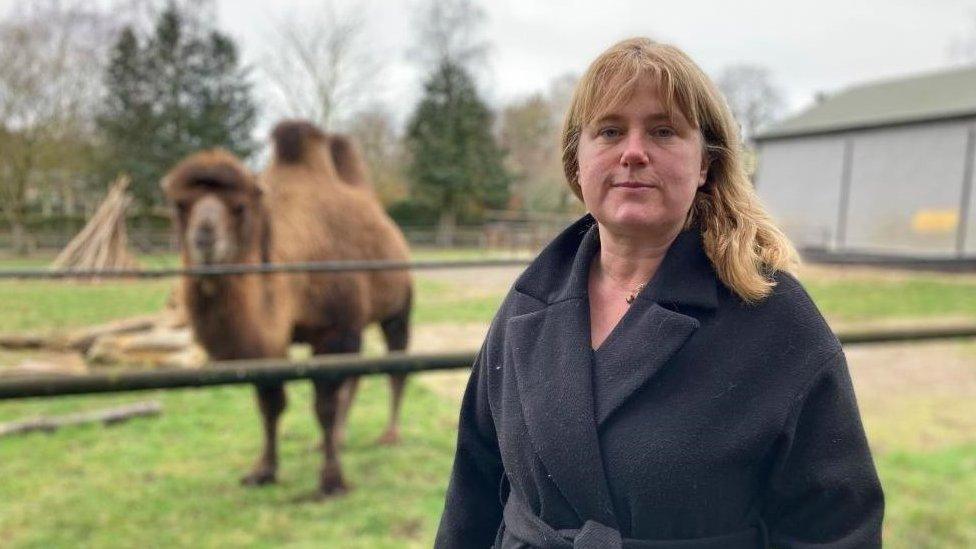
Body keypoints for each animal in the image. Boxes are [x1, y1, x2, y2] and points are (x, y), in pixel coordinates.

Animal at [163, 121, 412, 496]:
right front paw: (263, 470)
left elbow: (323, 406)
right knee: (356, 376)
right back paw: (338, 438)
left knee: (396, 366)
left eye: (239, 207)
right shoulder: (271, 346)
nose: (204, 237)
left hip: (399, 306)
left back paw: (389, 434)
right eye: (180, 205)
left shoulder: (335, 330)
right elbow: (270, 404)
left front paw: (331, 480)